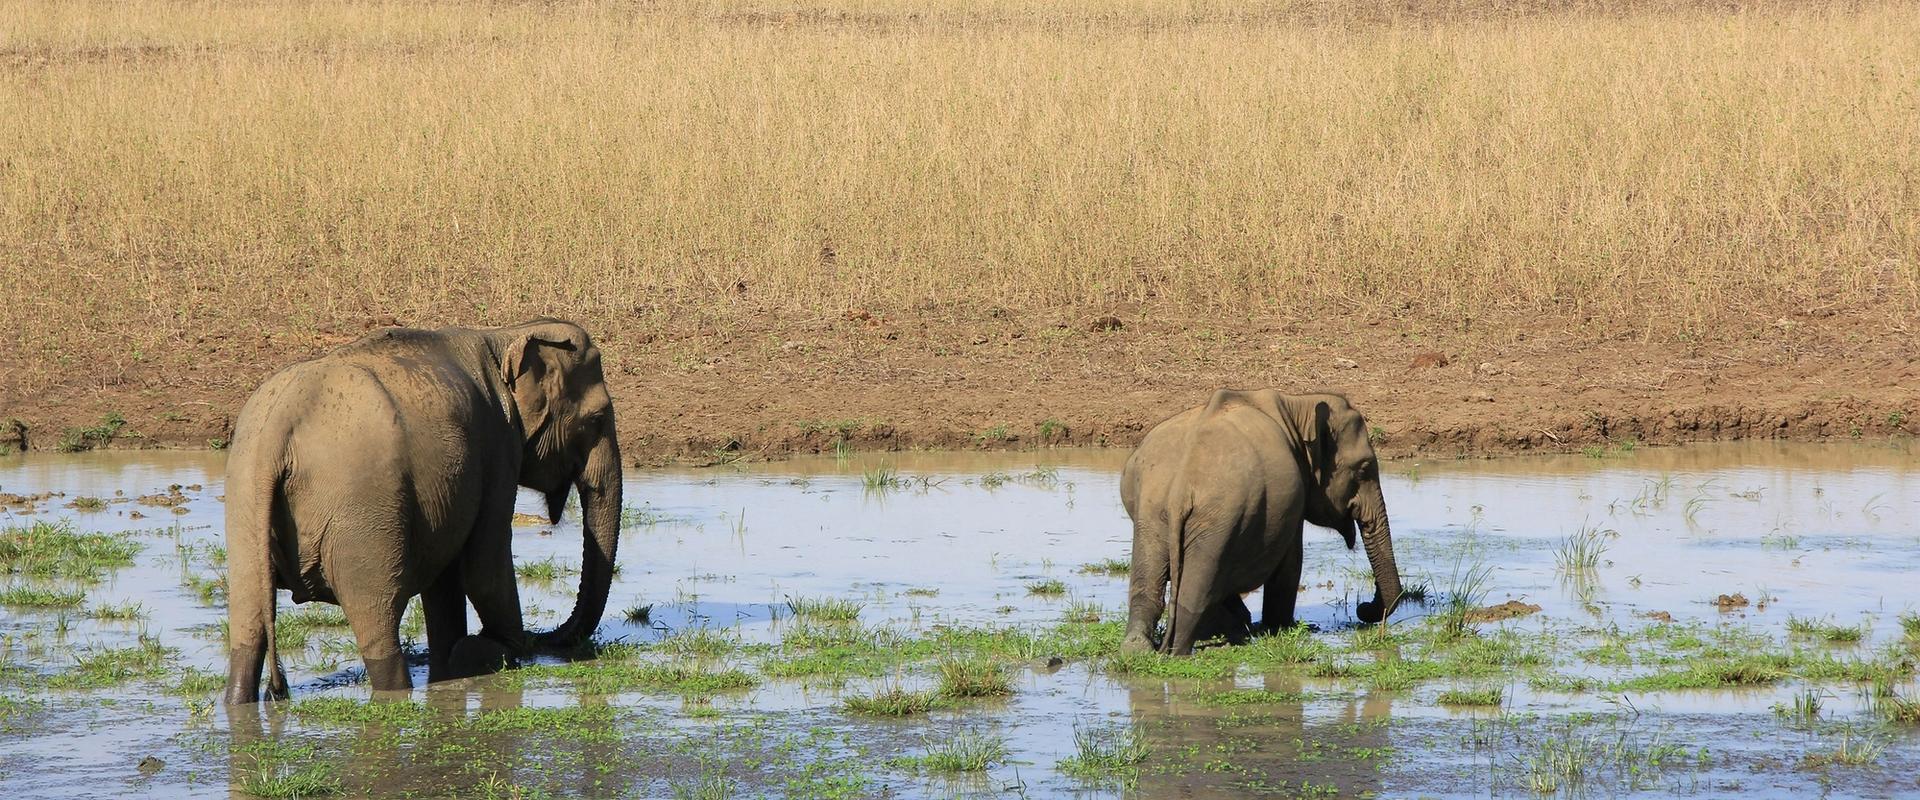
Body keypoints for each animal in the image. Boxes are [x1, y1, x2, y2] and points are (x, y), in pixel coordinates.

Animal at [222, 318, 624, 704]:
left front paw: (453, 662)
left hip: (245, 501)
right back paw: (398, 691)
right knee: (379, 620)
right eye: (597, 419)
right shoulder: (498, 446)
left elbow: (445, 580)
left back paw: (239, 701)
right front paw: (491, 650)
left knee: (248, 621)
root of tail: (278, 428)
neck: (505, 335)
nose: (545, 639)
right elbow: (484, 567)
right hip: (361, 515)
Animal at [1120, 390, 1404, 655]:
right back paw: (1179, 651)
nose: (1363, 608)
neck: (1298, 405)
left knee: (1150, 578)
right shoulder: (1294, 501)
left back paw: (1140, 648)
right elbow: (1290, 565)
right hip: (1218, 516)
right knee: (1198, 586)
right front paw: (1280, 627)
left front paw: (1240, 624)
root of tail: (1180, 488)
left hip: (1152, 512)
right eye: (1364, 468)